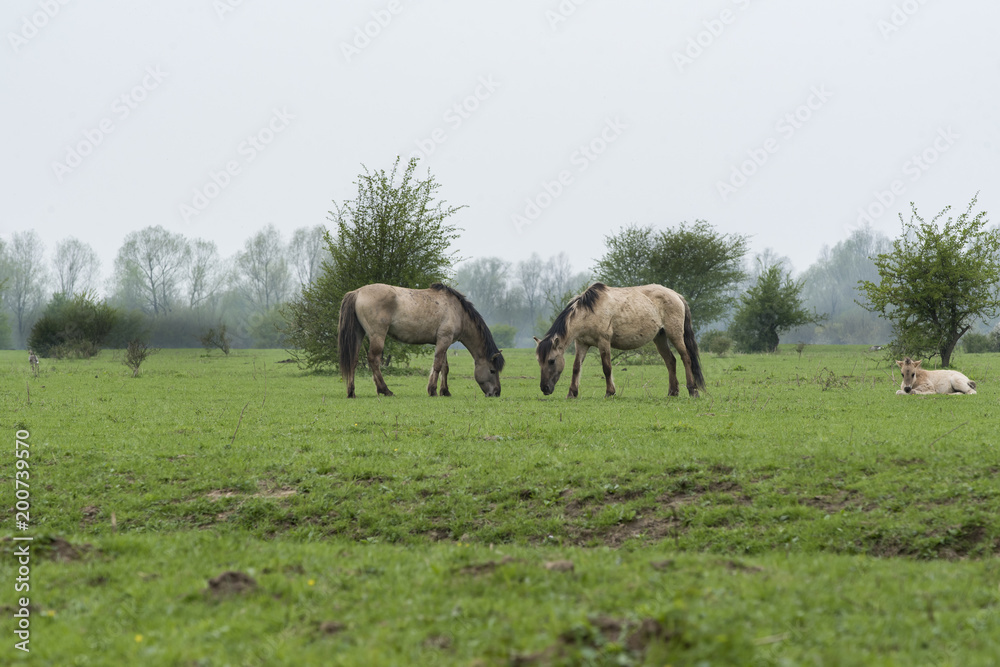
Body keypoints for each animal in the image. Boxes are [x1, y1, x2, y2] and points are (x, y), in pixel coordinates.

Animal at [338, 284, 508, 400]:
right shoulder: (444, 340)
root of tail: (357, 292)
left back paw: (351, 392)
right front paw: (432, 390)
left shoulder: (443, 342)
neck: (458, 311)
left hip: (359, 334)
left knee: (353, 360)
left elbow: (445, 367)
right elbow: (438, 365)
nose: (496, 393)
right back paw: (385, 390)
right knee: (374, 360)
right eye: (492, 370)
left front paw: (445, 391)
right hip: (377, 335)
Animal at [536, 284, 708, 400]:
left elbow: (607, 368)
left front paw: (609, 392)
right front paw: (572, 393)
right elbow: (576, 368)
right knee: (670, 361)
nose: (544, 388)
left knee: (686, 358)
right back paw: (672, 392)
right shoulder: (582, 344)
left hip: (675, 334)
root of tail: (676, 295)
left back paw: (693, 390)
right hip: (659, 337)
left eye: (551, 361)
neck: (588, 312)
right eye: (539, 361)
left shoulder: (603, 342)